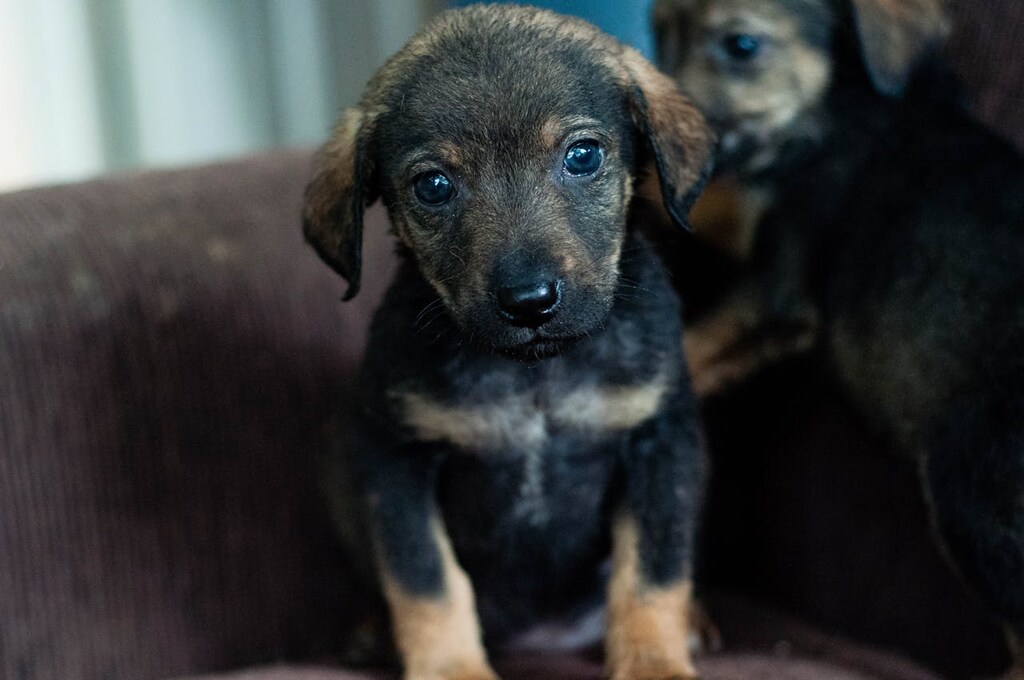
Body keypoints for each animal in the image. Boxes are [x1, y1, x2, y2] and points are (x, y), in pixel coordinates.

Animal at [301, 6, 712, 680]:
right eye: (433, 185)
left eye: (582, 155)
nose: (529, 302)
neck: (535, 377)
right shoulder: (394, 458)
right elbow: (426, 582)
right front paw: (450, 669)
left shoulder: (660, 442)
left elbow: (651, 574)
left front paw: (653, 661)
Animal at [651, 0, 1024, 675]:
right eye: (660, 32)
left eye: (741, 45)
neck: (848, 100)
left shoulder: (776, 288)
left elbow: (693, 348)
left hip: (972, 497)